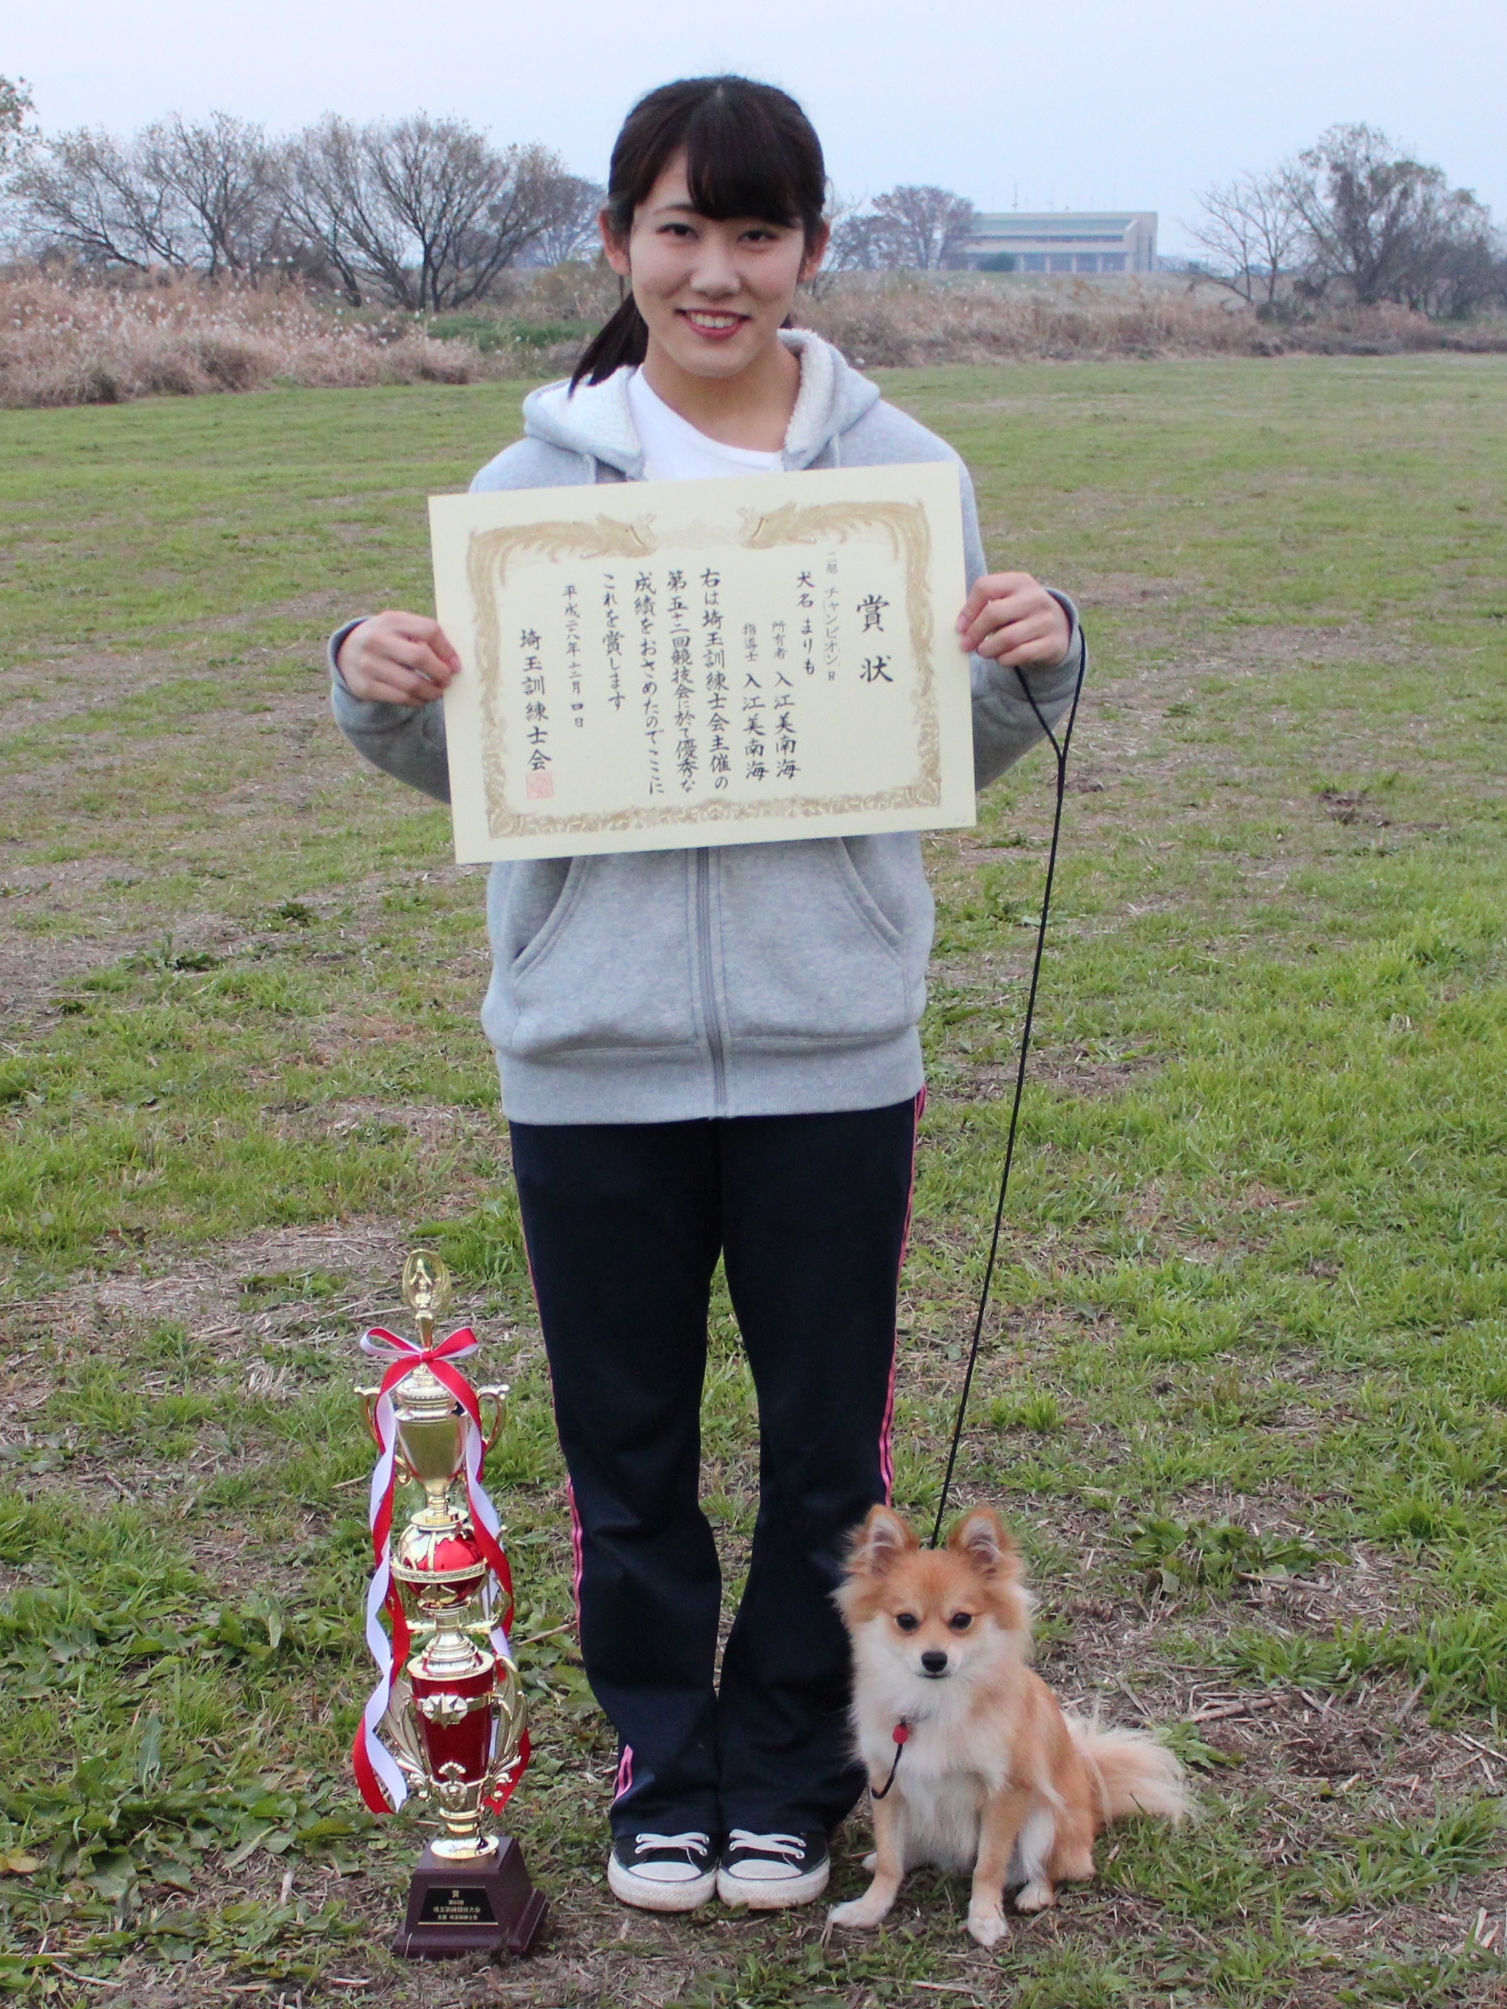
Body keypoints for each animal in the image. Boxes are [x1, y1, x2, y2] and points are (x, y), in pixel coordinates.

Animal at [828, 1504, 1188, 1948]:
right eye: (906, 1621)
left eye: (961, 1620)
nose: (934, 1658)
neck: (936, 1702)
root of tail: (1092, 1799)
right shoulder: (887, 1784)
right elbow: (891, 1863)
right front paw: (869, 1908)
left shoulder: (1006, 1793)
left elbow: (989, 1865)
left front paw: (985, 1919)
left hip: (1046, 1821)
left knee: (1057, 1869)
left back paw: (1035, 1893)